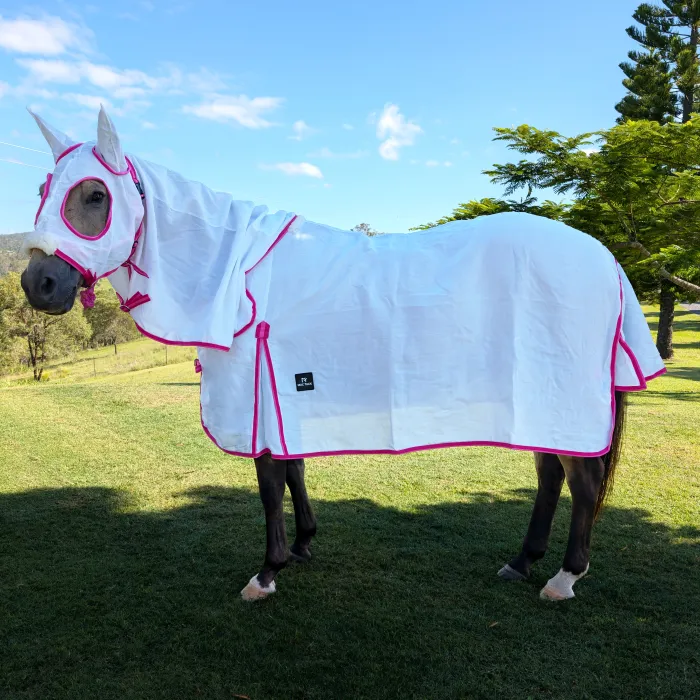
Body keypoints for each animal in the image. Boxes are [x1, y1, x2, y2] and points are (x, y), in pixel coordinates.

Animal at [20, 107, 666, 602]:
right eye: (43, 191)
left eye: (95, 195)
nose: (38, 284)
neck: (239, 273)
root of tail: (604, 256)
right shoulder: (283, 397)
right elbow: (294, 472)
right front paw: (304, 544)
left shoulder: (259, 396)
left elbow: (270, 485)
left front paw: (267, 571)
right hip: (538, 396)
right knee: (551, 473)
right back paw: (522, 560)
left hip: (565, 395)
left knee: (582, 482)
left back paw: (563, 577)